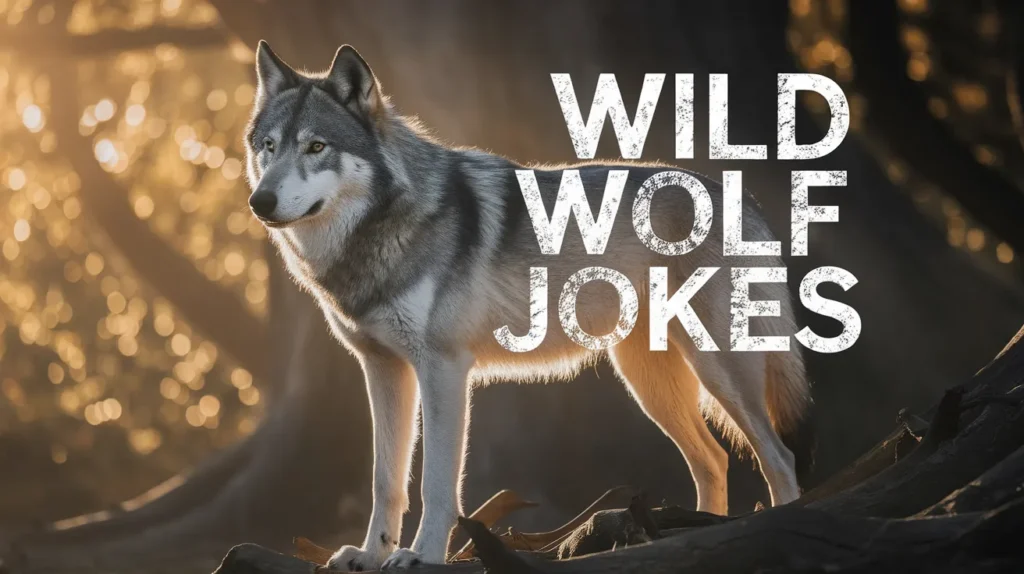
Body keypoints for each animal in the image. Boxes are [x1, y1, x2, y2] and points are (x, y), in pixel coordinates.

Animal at [244, 41, 811, 571]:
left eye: (316, 146)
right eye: (269, 147)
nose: (259, 202)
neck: (379, 232)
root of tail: (744, 198)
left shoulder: (444, 369)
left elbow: (436, 484)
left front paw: (421, 555)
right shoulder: (383, 369)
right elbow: (386, 480)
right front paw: (368, 555)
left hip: (716, 372)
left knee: (778, 456)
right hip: (650, 385)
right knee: (713, 459)